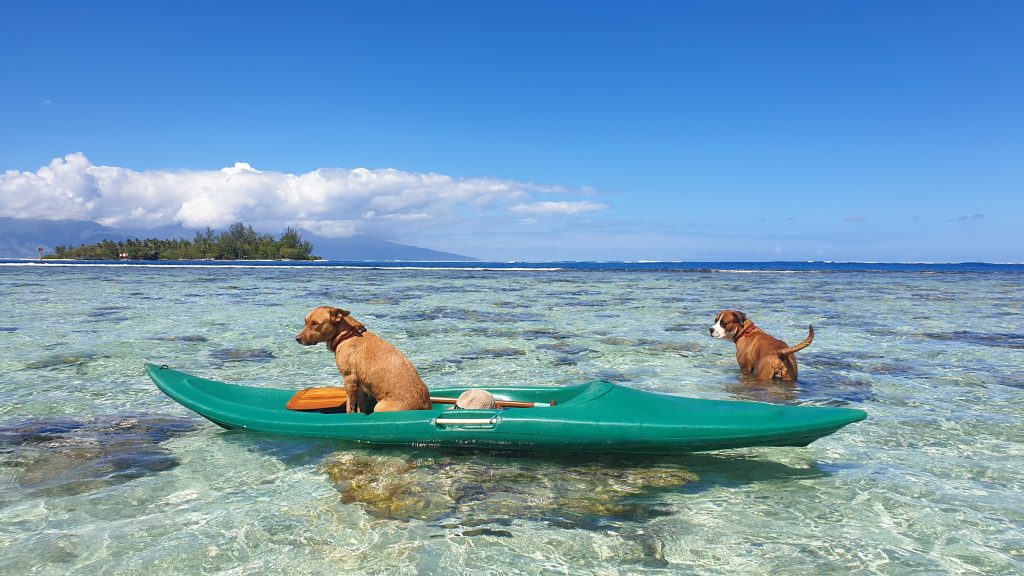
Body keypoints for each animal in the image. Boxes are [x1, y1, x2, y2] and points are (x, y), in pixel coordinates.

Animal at [292, 307, 432, 409]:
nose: (297, 338)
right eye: (305, 322)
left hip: (380, 407)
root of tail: (424, 406)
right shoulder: (361, 387)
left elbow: (350, 407)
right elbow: (360, 407)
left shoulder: (349, 380)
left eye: (315, 324)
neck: (348, 335)